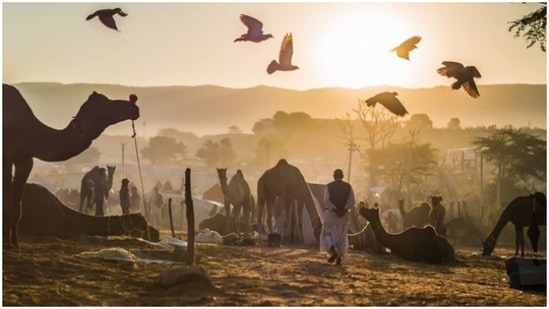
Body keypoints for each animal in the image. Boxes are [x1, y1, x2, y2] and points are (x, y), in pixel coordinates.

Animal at [3, 84, 139, 248]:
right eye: (106, 103)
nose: (134, 108)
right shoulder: (6, 156)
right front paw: (7, 244)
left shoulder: (25, 159)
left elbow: (16, 208)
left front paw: (15, 244)